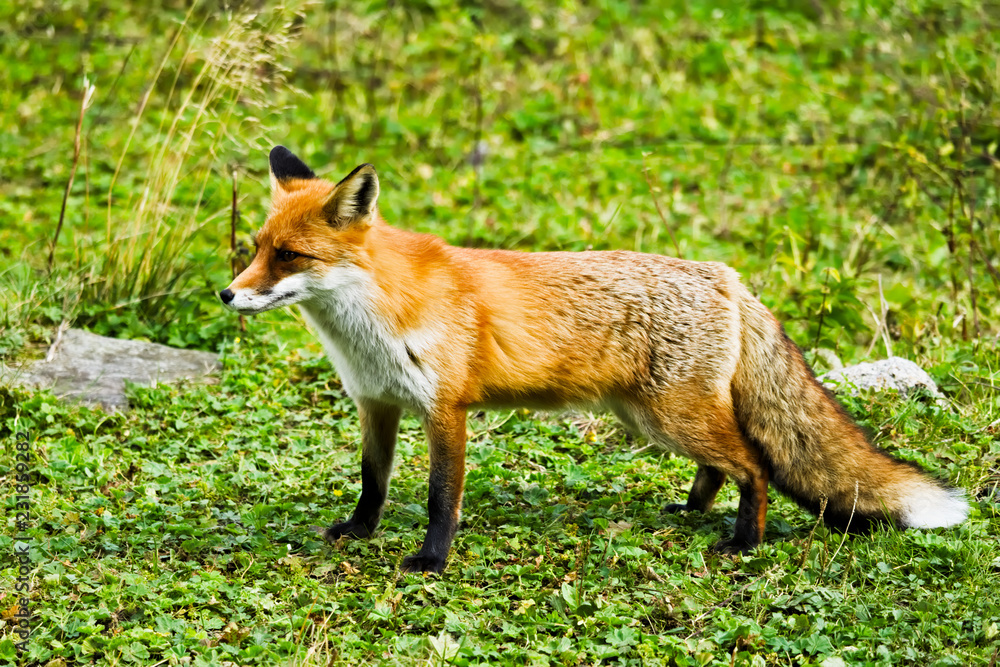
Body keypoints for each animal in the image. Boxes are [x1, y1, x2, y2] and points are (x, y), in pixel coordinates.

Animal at [219, 146, 968, 576]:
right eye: (254, 247)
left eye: (290, 256)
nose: (228, 293)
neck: (371, 320)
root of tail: (726, 275)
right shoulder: (377, 401)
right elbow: (372, 481)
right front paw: (357, 531)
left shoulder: (445, 408)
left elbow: (439, 497)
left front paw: (431, 560)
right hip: (656, 418)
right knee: (721, 466)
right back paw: (692, 510)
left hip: (671, 416)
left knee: (753, 465)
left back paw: (742, 544)